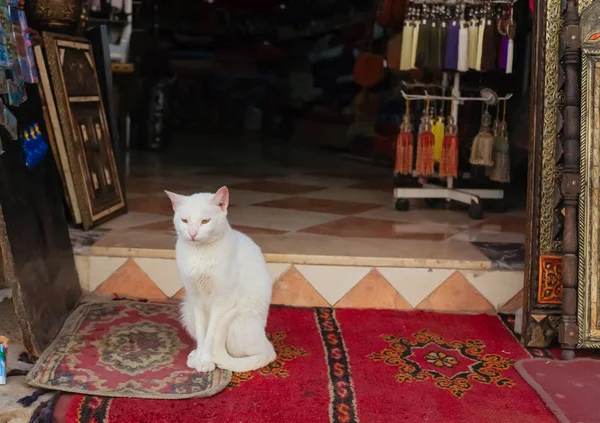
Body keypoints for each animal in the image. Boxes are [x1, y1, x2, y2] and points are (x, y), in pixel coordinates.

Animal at [164, 187, 276, 372]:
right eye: (185, 220)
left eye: (205, 221)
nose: (192, 233)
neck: (200, 254)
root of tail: (266, 342)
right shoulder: (196, 299)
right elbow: (202, 333)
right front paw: (200, 358)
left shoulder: (221, 301)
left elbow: (211, 334)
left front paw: (206, 360)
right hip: (187, 310)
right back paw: (195, 354)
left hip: (239, 323)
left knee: (255, 353)